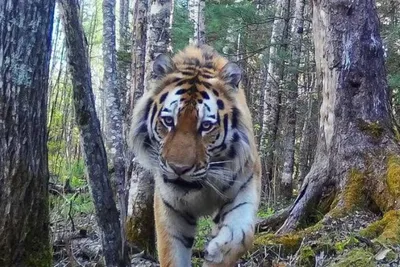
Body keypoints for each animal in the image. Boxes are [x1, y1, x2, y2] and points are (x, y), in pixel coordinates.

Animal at [129, 46, 262, 267]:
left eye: (206, 126)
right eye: (168, 121)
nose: (179, 169)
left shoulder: (245, 185)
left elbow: (242, 234)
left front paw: (217, 252)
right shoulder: (170, 208)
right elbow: (172, 253)